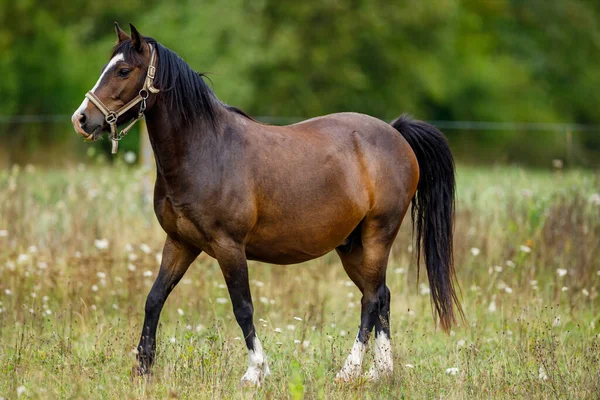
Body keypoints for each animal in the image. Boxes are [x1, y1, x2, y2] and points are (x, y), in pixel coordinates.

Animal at [71, 23, 464, 386]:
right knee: (381, 295)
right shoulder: (180, 243)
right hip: (351, 246)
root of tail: (395, 132)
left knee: (370, 300)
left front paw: (255, 372)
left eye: (124, 70)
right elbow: (154, 299)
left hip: (378, 235)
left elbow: (243, 307)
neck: (205, 150)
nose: (82, 119)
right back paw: (381, 372)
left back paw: (349, 371)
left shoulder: (229, 246)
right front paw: (142, 369)